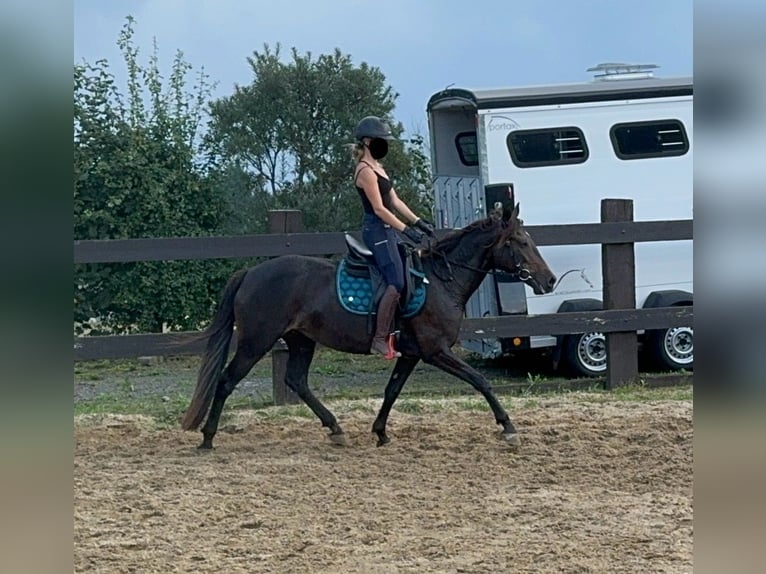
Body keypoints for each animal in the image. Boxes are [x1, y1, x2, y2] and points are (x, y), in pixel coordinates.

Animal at [184, 205, 560, 452]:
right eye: (521, 242)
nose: (550, 280)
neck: (441, 280)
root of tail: (251, 273)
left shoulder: (411, 353)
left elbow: (392, 390)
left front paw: (380, 432)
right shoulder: (436, 351)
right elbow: (481, 381)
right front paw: (508, 427)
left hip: (301, 340)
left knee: (296, 380)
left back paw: (335, 428)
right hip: (256, 342)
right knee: (226, 381)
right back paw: (208, 438)